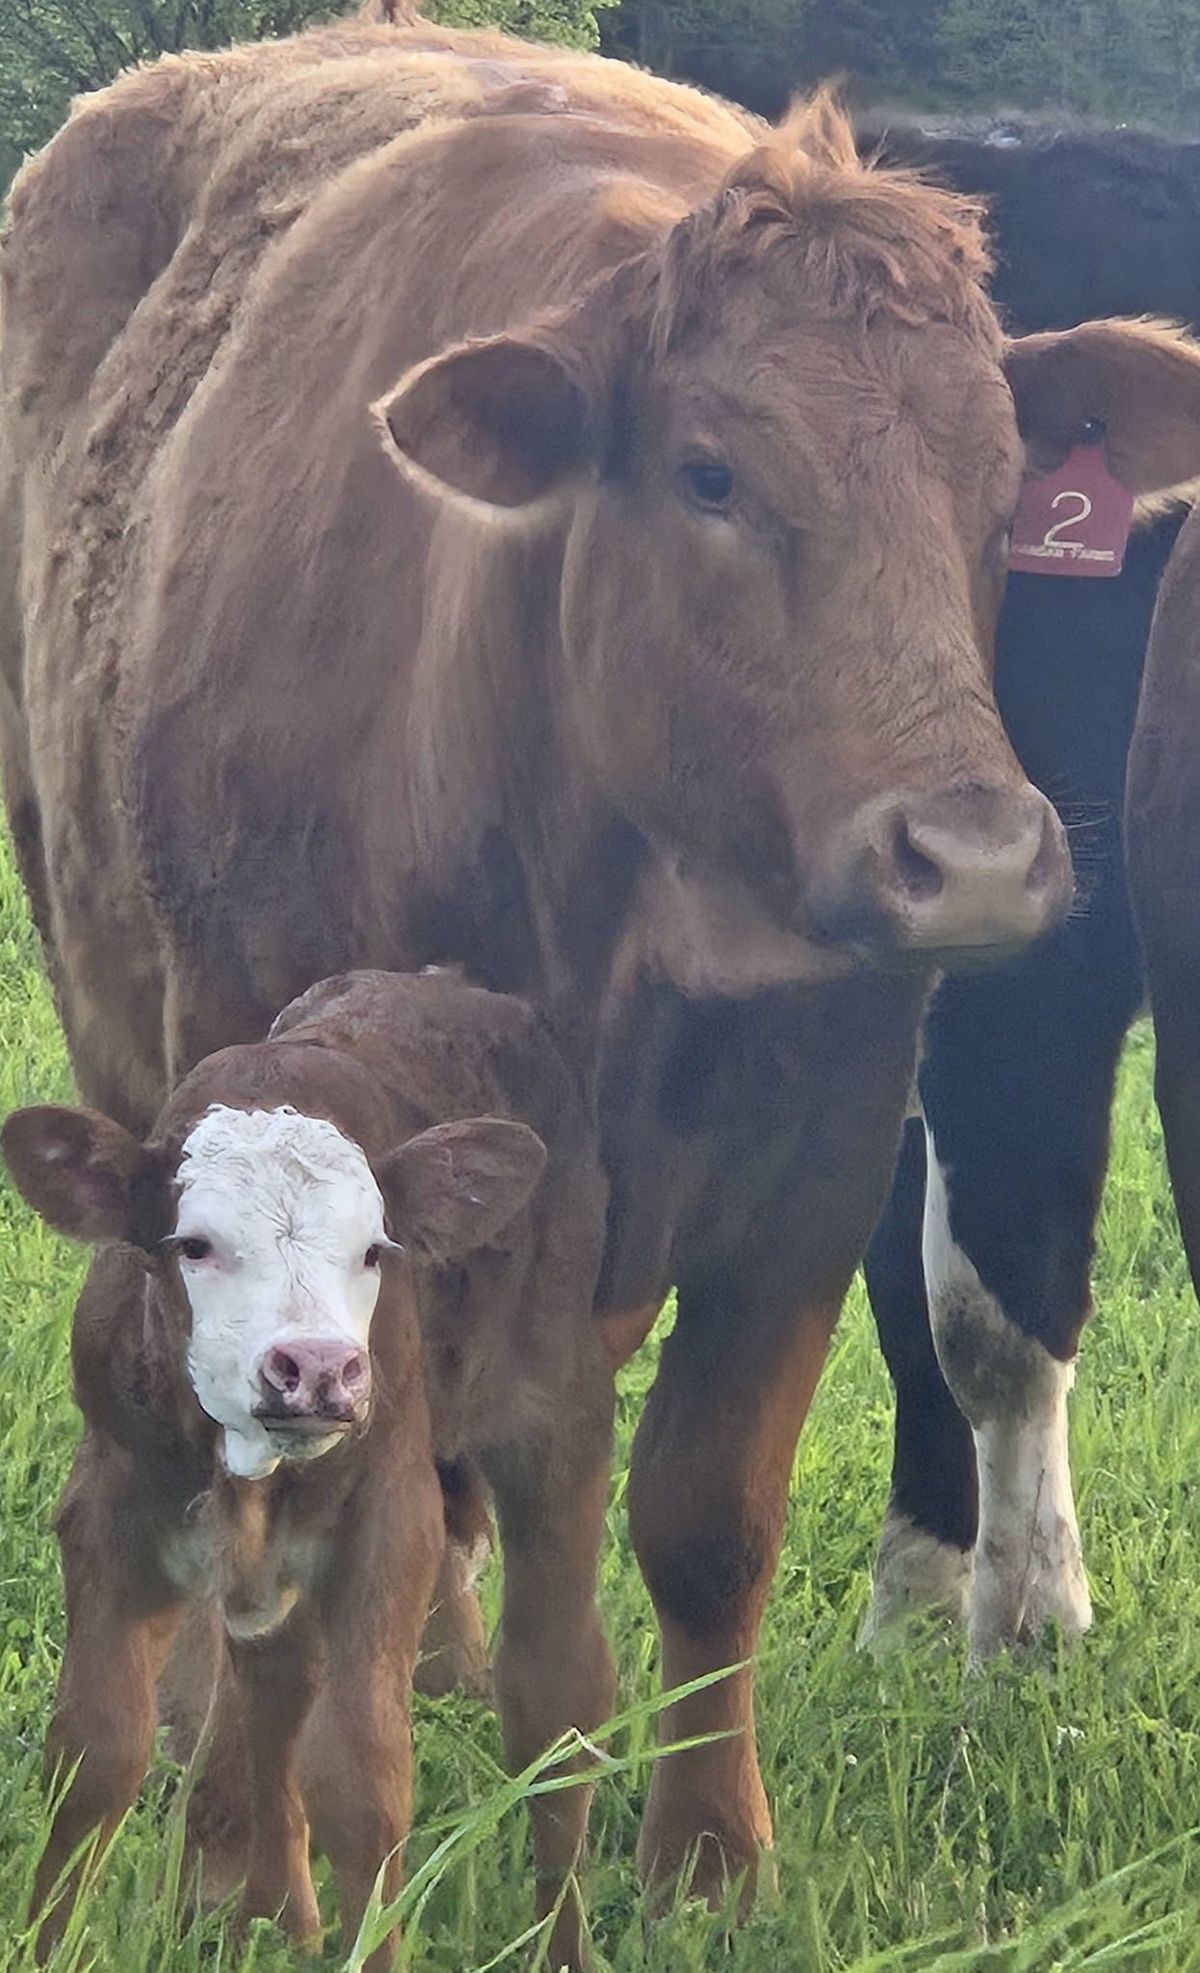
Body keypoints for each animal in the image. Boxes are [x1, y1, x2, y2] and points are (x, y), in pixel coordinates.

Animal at [2, 966, 609, 1968]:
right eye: (194, 1244)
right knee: (273, 1688)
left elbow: (362, 1781)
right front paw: (43, 1946)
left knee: (558, 1692)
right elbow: (94, 1750)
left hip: (556, 1416)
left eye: (374, 1250)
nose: (317, 1367)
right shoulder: (111, 1507)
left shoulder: (391, 1521)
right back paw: (274, 1912)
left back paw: (562, 1938)